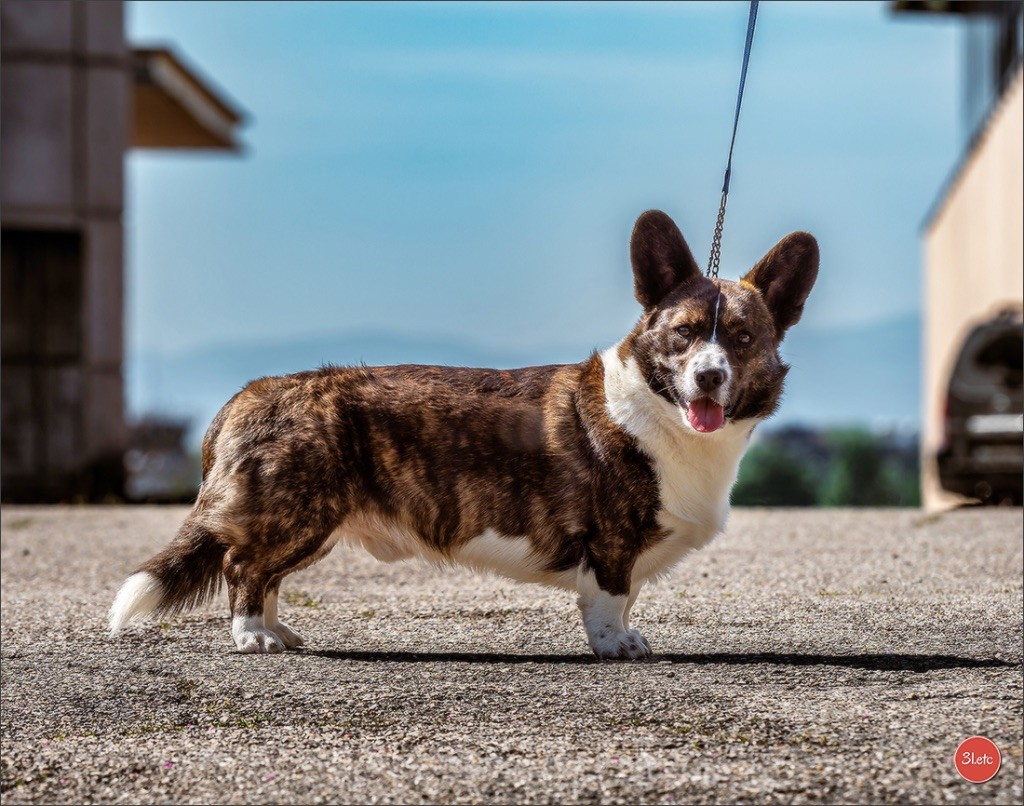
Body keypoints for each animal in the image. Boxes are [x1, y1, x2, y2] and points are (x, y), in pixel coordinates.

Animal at [110, 210, 815, 659]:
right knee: (242, 565)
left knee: (266, 572)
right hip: (299, 511)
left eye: (741, 337)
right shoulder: (612, 541)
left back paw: (279, 633)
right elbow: (611, 598)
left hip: (312, 523)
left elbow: (628, 596)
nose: (709, 376)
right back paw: (253, 637)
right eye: (685, 333)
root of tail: (245, 397)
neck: (660, 412)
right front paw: (616, 646)